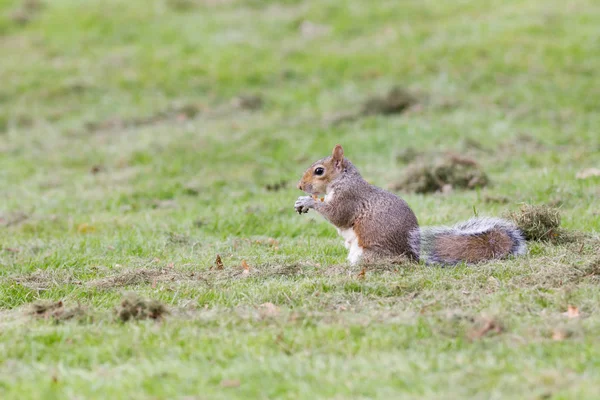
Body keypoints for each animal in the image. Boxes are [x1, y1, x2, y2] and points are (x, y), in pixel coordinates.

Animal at [294, 145, 524, 266]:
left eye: (319, 171)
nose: (299, 186)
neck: (343, 180)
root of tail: (412, 258)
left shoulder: (350, 198)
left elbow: (337, 215)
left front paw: (307, 201)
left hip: (370, 254)